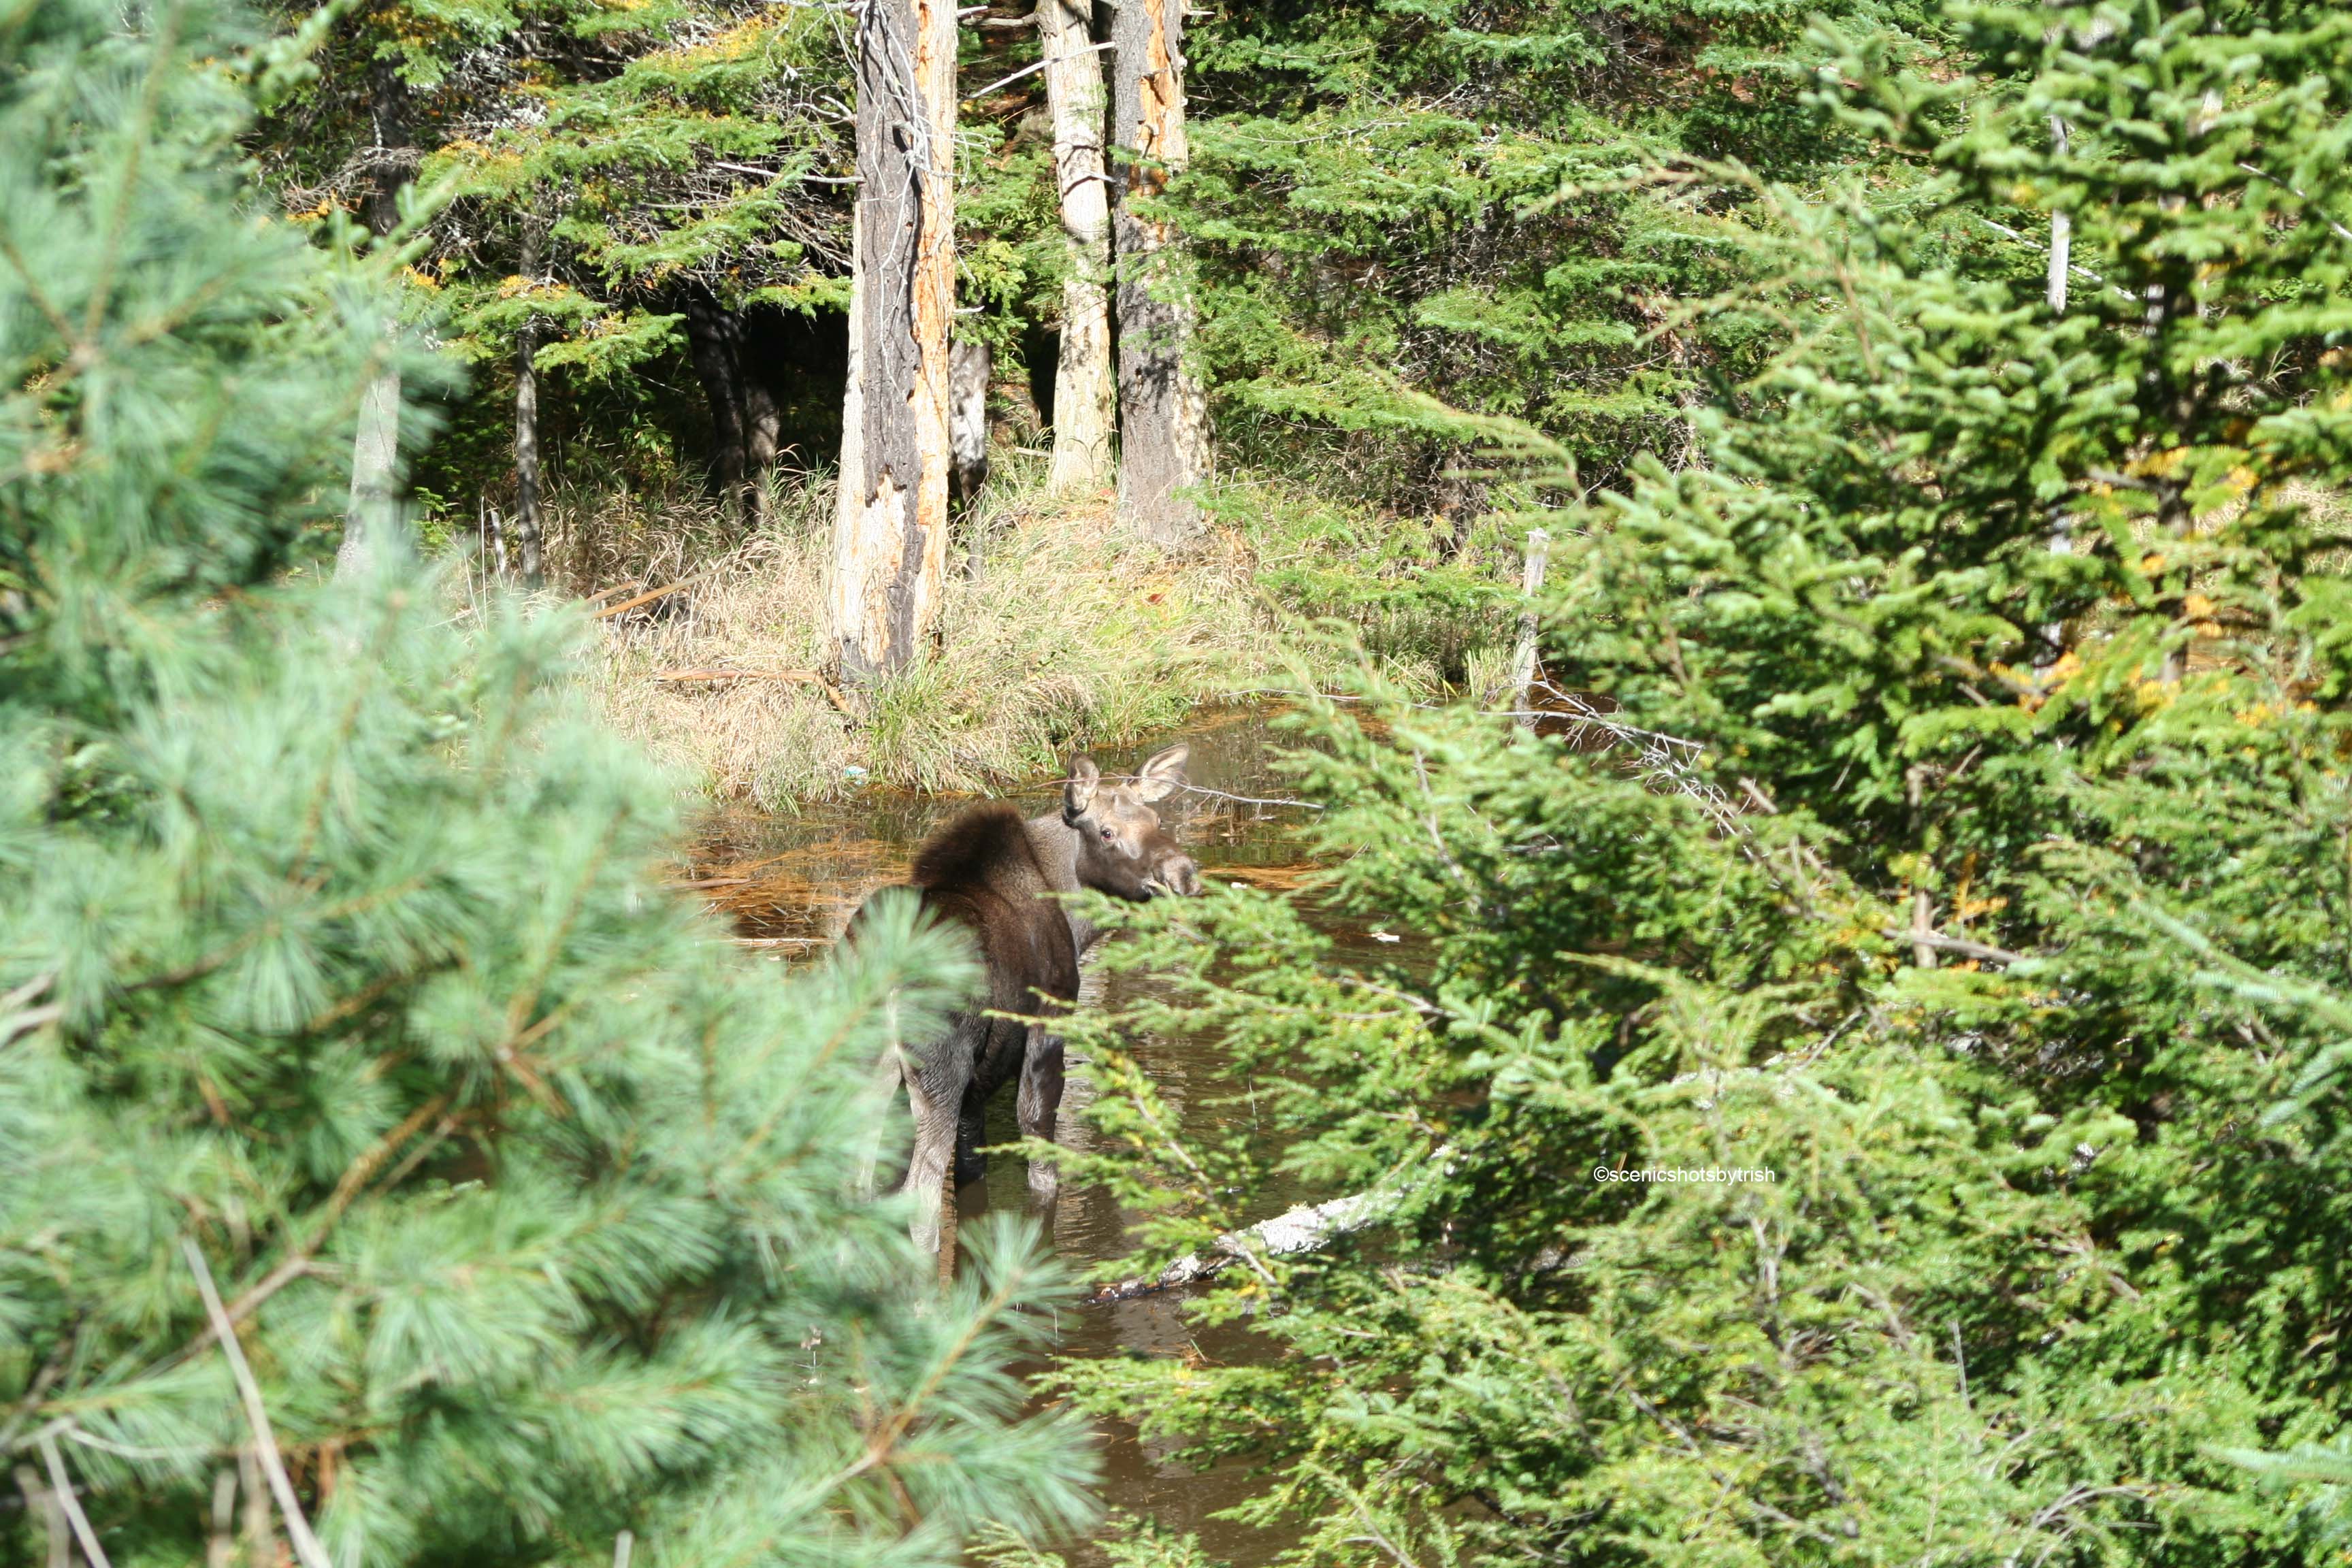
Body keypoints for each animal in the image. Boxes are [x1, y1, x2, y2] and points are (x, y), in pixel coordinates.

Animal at [853, 746, 1200, 1252]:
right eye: (1107, 831)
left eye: (1157, 819)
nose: (1182, 875)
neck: (1075, 915)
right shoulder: (1051, 1017)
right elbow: (1039, 1144)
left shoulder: (979, 1084)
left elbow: (973, 1165)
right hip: (939, 1068)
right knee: (918, 1196)